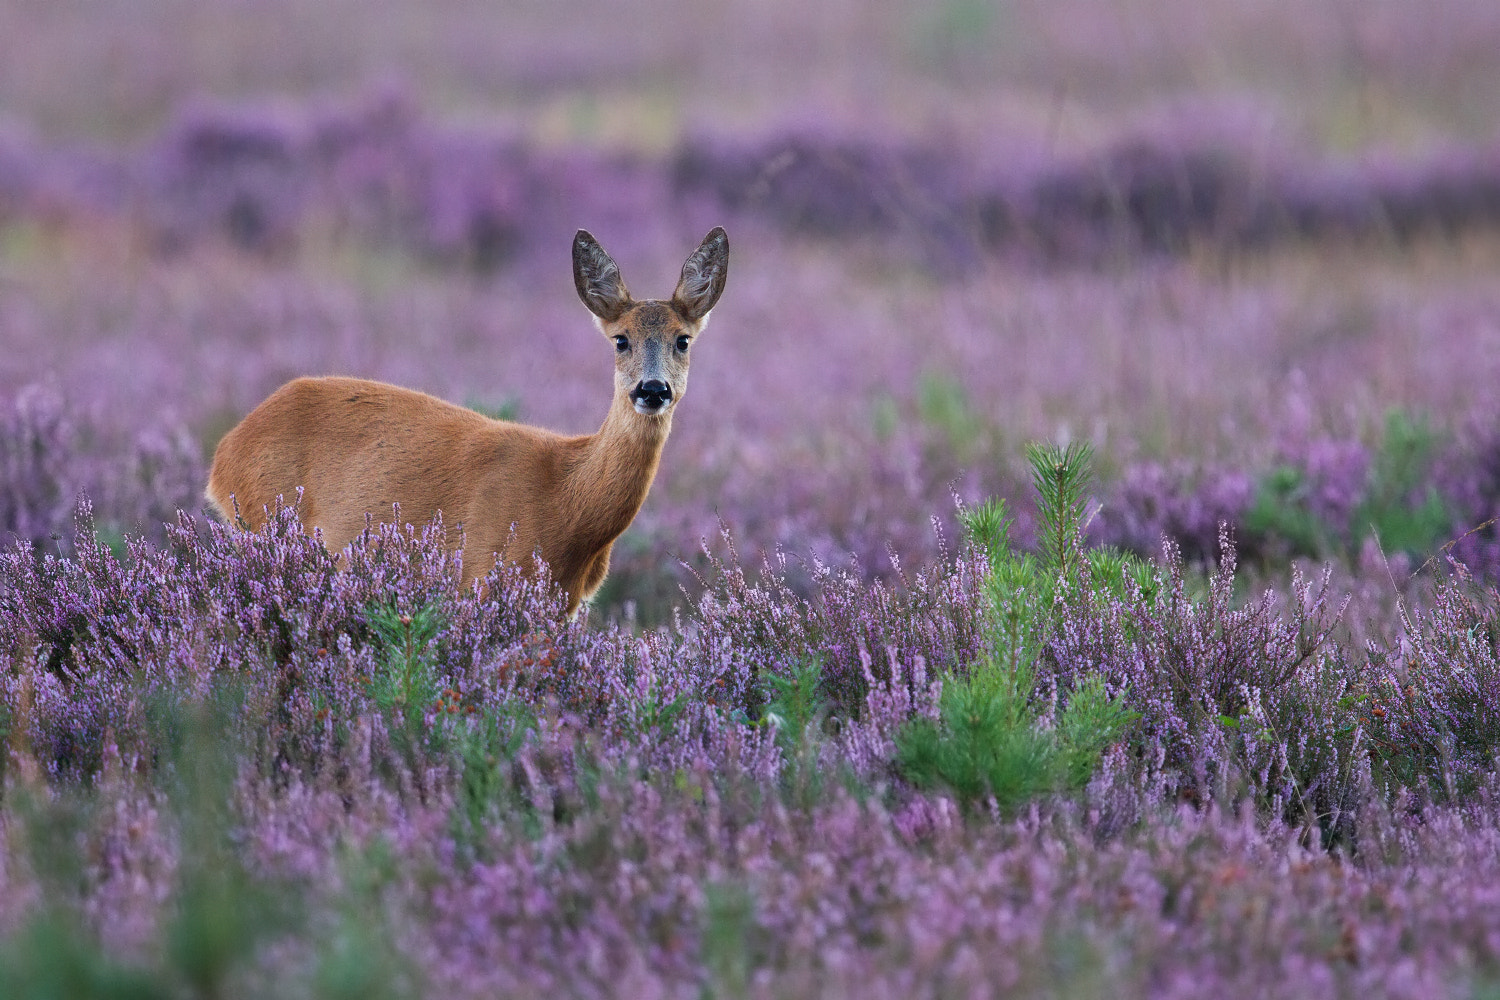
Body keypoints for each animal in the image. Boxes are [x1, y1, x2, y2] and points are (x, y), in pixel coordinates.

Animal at [208, 227, 729, 614]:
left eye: (682, 339)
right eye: (621, 339)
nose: (652, 390)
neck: (565, 504)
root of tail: (224, 452)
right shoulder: (480, 571)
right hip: (264, 521)